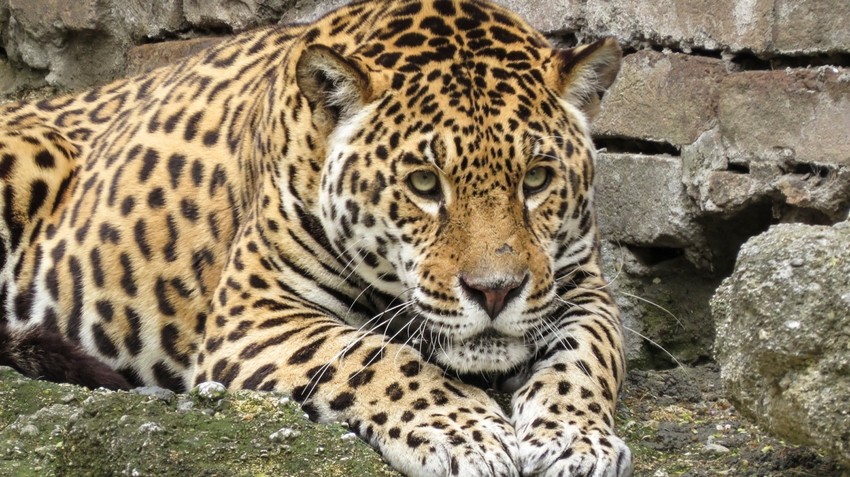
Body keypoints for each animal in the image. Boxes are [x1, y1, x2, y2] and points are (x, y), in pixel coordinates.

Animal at [0, 0, 631, 475]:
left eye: (538, 179)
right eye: (425, 183)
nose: (495, 292)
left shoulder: (581, 285)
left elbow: (590, 356)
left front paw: (577, 441)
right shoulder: (254, 313)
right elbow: (374, 356)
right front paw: (467, 432)